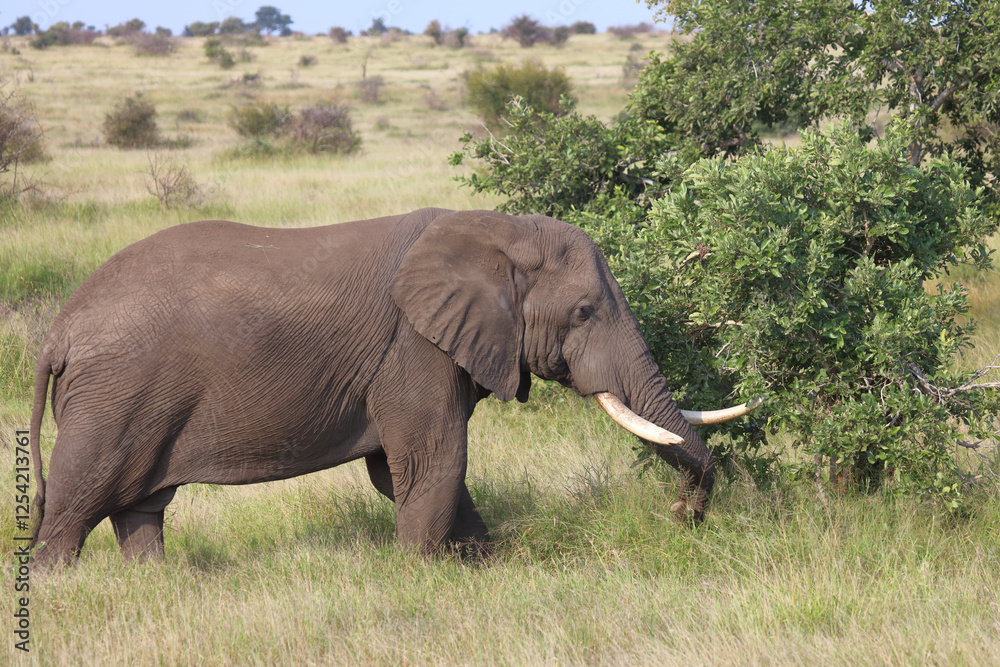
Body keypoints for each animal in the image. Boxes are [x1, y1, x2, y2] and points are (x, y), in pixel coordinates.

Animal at [28, 208, 758, 565]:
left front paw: (479, 565)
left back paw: (154, 584)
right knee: (75, 505)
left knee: (139, 507)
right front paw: (420, 575)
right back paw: (61, 584)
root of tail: (57, 334)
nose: (681, 518)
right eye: (583, 312)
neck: (495, 230)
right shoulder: (413, 348)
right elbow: (433, 461)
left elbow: (404, 470)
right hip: (113, 396)